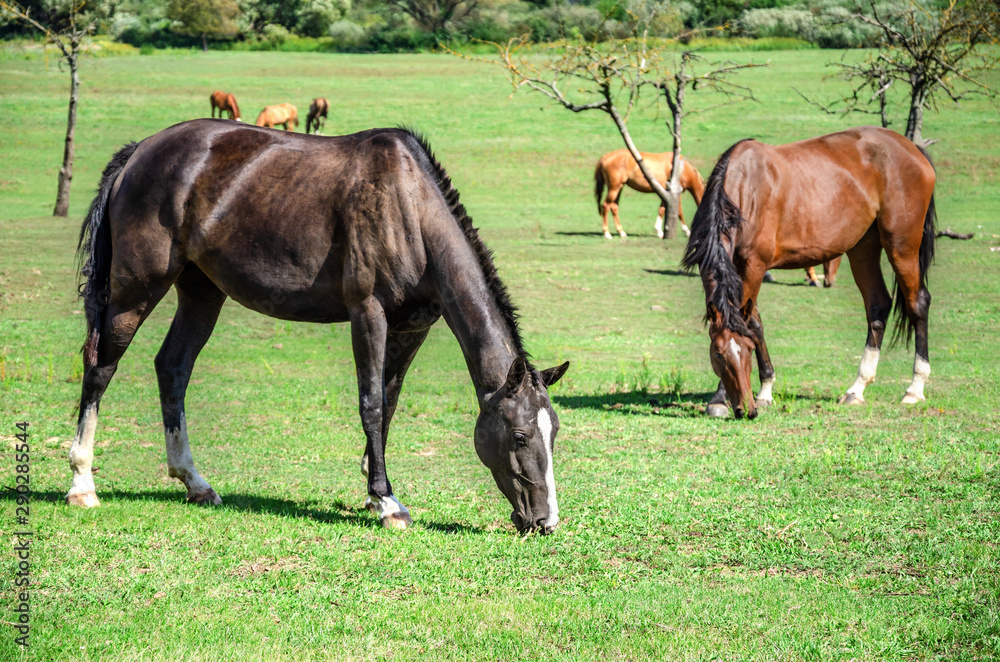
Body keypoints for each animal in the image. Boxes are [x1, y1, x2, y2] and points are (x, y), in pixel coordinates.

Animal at [66, 119, 572, 536]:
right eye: (521, 436)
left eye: (554, 433)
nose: (545, 522)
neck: (410, 208)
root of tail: (140, 151)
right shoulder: (368, 315)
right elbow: (372, 404)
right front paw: (387, 502)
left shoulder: (412, 328)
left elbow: (389, 403)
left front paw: (372, 488)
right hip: (136, 289)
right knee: (100, 367)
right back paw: (82, 482)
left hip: (202, 292)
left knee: (172, 368)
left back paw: (194, 482)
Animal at [684, 127, 932, 422]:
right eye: (719, 355)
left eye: (747, 351)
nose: (747, 410)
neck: (745, 190)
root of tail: (913, 150)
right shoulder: (740, 270)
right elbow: (754, 322)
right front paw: (764, 389)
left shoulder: (754, 265)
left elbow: (746, 322)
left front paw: (722, 398)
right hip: (863, 247)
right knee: (878, 306)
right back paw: (857, 388)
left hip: (902, 246)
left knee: (918, 303)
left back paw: (915, 389)